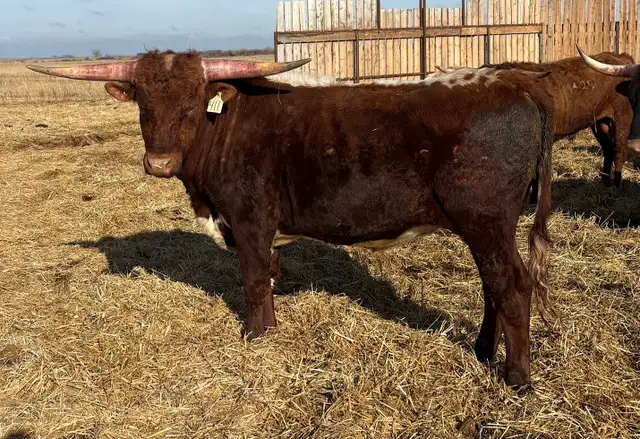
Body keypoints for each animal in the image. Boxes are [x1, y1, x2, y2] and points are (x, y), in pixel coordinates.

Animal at [28, 52, 554, 388]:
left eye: (193, 100)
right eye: (142, 100)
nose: (158, 163)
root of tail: (514, 86)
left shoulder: (249, 221)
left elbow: (254, 279)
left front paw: (256, 336)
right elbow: (270, 277)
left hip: (486, 221)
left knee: (511, 286)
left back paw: (516, 378)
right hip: (485, 229)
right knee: (492, 286)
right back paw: (483, 350)